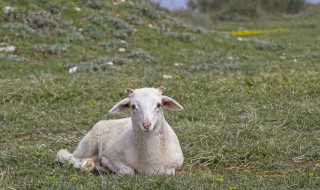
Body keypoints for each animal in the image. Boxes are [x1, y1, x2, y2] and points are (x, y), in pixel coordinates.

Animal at [56, 86, 184, 175]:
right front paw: (107, 165)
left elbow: (168, 172)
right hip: (88, 144)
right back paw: (86, 165)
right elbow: (129, 172)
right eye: (133, 106)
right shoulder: (112, 155)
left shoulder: (174, 165)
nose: (147, 125)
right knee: (67, 156)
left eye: (159, 105)